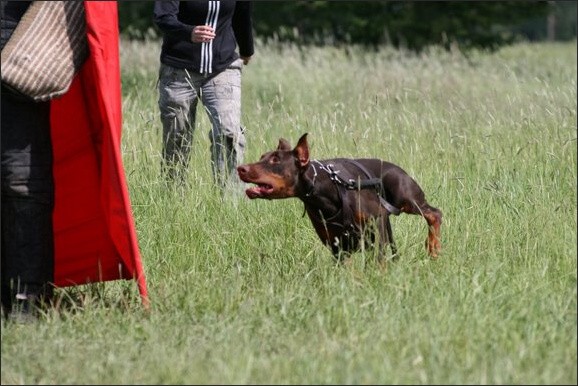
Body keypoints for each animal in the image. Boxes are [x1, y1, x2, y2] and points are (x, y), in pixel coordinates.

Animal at [234, 133, 440, 262]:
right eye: (262, 156)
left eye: (275, 159)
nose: (240, 168)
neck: (324, 192)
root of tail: (398, 168)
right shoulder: (337, 245)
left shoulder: (377, 222)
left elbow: (380, 259)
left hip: (404, 197)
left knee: (434, 213)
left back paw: (434, 249)